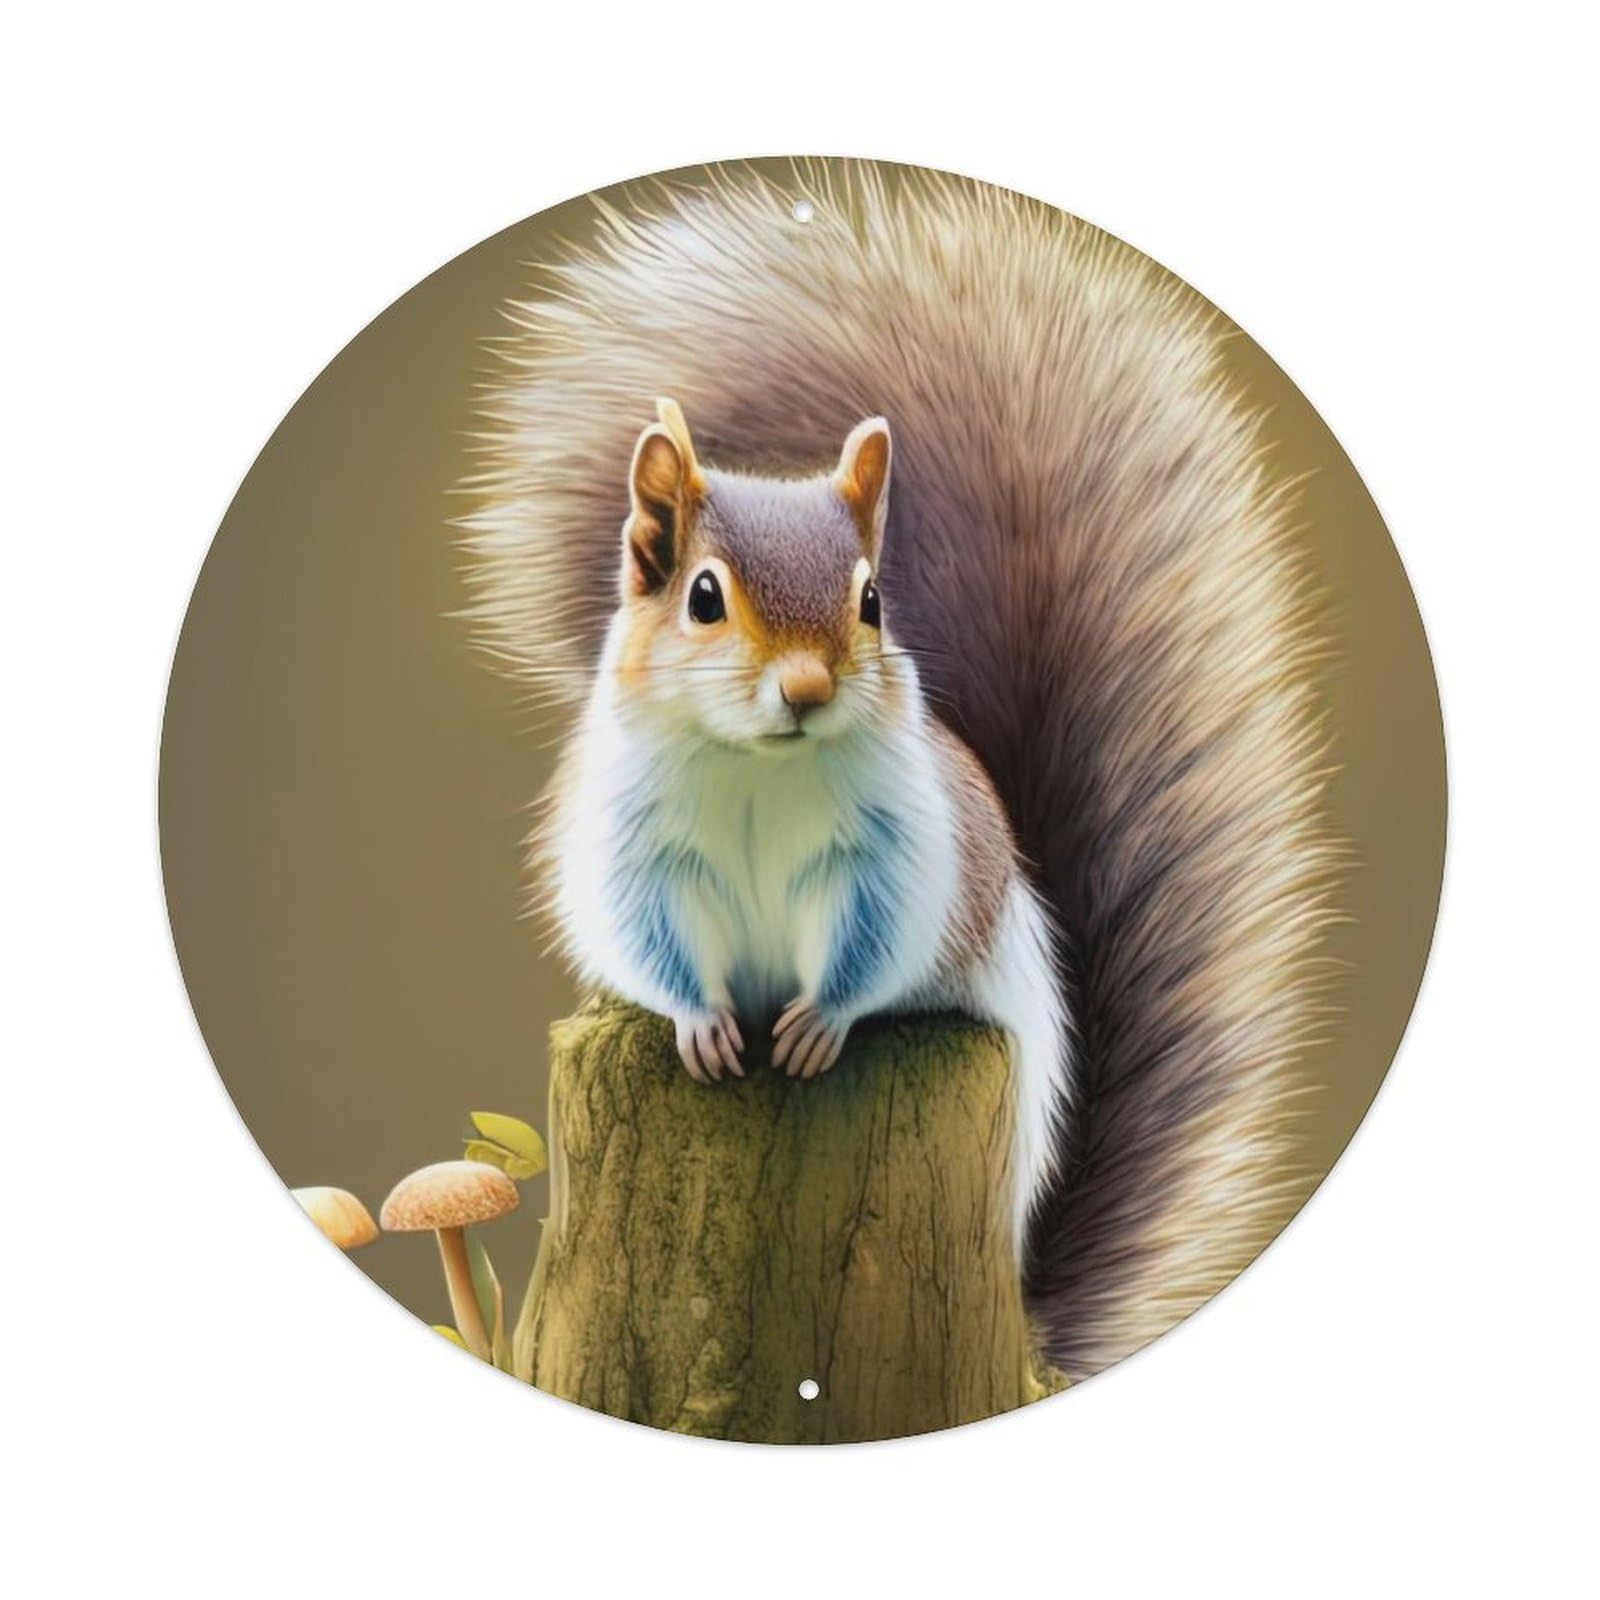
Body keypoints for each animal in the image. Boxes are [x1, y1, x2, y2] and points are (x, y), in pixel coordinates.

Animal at [463, 162, 1337, 1380]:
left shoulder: (901, 854)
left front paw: (820, 1024)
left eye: (872, 601)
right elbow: (649, 944)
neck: (759, 772)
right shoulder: (633, 854)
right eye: (701, 596)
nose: (807, 691)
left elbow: (880, 943)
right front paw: (701, 1025)